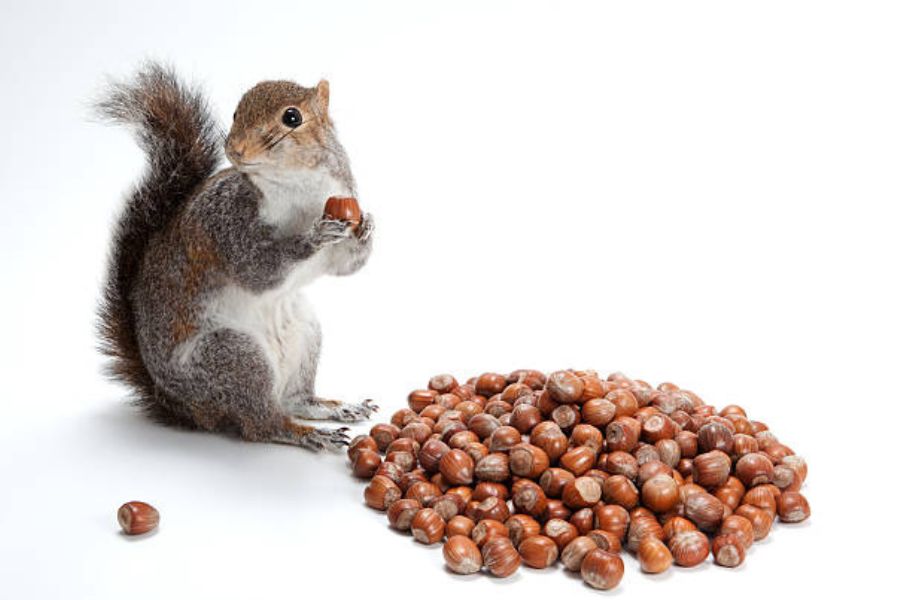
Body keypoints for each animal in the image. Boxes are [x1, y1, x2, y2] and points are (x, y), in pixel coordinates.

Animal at [97, 62, 376, 450]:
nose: (236, 148)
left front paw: (368, 227)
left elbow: (345, 266)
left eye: (292, 117)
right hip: (232, 359)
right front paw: (314, 235)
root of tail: (183, 407)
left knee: (295, 400)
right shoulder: (227, 219)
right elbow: (257, 270)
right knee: (262, 423)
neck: (297, 185)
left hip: (305, 334)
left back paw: (332, 408)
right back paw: (305, 433)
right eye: (235, 113)